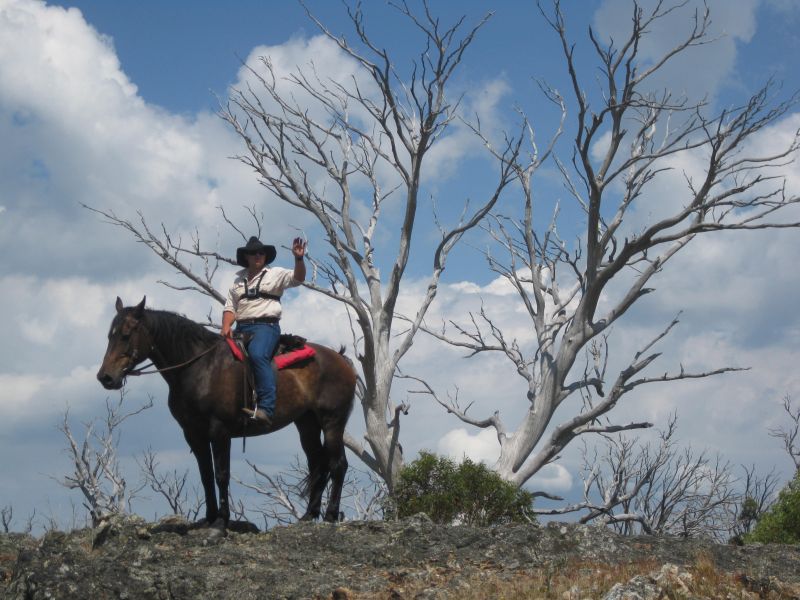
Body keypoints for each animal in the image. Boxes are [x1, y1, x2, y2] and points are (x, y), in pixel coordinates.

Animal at [95, 298, 354, 528]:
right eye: (109, 335)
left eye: (126, 334)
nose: (105, 377)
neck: (199, 367)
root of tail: (341, 359)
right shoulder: (193, 434)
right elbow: (206, 475)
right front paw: (209, 517)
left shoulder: (219, 431)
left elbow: (221, 474)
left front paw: (221, 522)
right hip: (306, 424)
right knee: (318, 464)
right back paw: (309, 516)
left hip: (333, 422)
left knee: (338, 464)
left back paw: (331, 515)